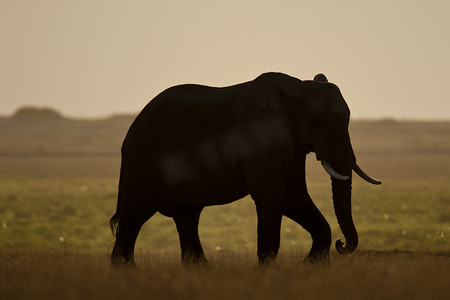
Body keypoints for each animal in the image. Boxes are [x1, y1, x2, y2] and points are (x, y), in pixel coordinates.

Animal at [110, 72, 380, 268]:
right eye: (315, 121)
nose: (342, 244)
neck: (295, 89)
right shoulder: (259, 140)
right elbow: (273, 199)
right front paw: (267, 274)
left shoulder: (290, 146)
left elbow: (293, 199)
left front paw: (309, 267)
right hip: (142, 160)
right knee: (134, 215)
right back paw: (127, 274)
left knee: (187, 217)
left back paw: (201, 272)